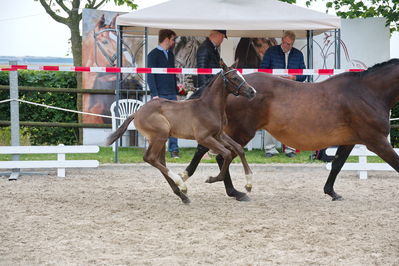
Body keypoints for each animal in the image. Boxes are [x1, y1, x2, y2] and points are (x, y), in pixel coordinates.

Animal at [181, 59, 399, 202]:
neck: (367, 92)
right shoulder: (377, 141)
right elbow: (396, 164)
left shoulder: (350, 140)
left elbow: (337, 164)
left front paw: (331, 192)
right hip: (241, 132)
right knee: (221, 155)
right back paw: (234, 192)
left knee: (207, 150)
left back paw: (189, 181)